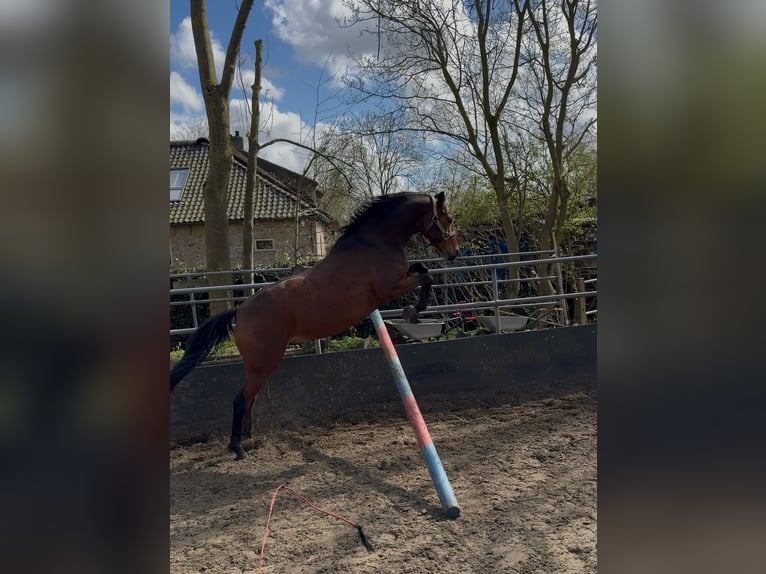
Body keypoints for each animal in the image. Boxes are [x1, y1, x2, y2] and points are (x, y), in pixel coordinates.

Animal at [170, 191, 458, 459]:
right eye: (448, 218)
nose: (453, 252)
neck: (375, 244)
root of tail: (240, 312)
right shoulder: (389, 290)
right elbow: (426, 277)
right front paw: (413, 311)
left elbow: (422, 269)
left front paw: (415, 310)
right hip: (264, 364)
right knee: (241, 400)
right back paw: (237, 447)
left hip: (257, 367)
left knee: (250, 399)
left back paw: (250, 439)